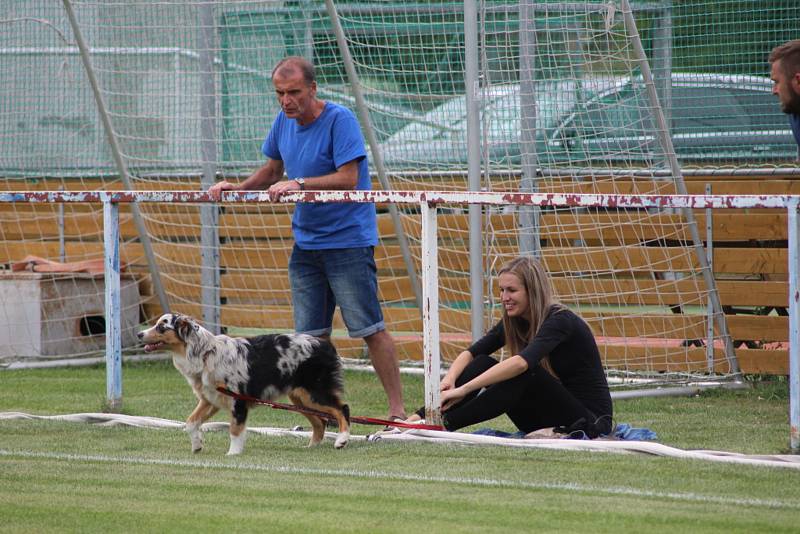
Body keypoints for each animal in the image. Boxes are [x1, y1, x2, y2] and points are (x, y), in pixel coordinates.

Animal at [138, 314, 350, 456]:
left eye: (161, 327)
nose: (139, 334)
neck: (205, 354)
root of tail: (325, 344)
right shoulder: (210, 400)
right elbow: (190, 422)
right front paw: (197, 444)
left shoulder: (237, 401)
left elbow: (234, 430)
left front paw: (233, 453)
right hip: (299, 397)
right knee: (320, 421)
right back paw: (312, 447)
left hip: (315, 392)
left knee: (342, 409)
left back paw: (341, 440)